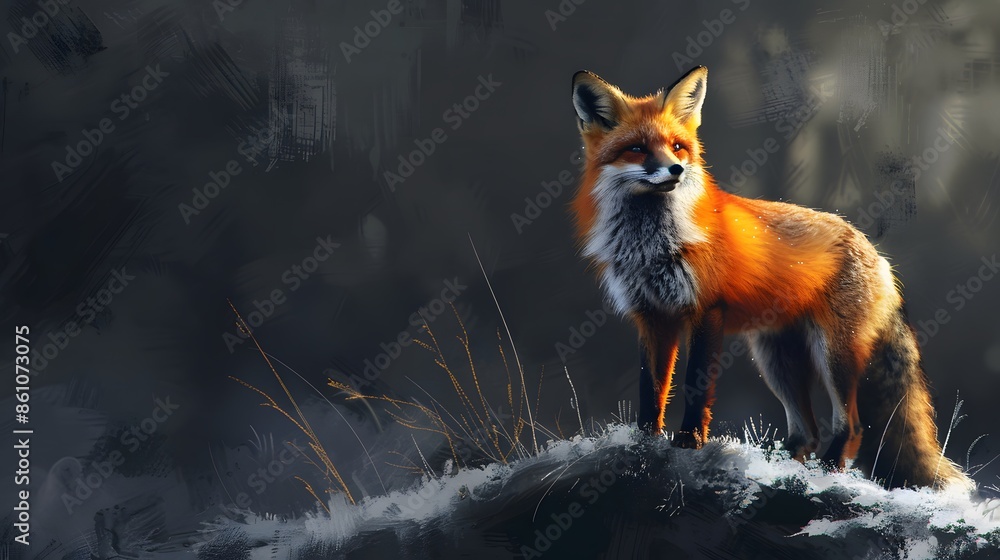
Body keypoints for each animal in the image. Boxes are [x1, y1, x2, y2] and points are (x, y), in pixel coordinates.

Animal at [569, 65, 972, 490]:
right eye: (637, 149)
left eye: (678, 147)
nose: (676, 169)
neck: (651, 245)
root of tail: (877, 254)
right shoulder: (651, 316)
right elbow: (651, 391)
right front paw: (645, 443)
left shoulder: (706, 311)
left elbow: (696, 388)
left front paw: (689, 443)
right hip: (776, 360)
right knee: (807, 433)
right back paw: (779, 467)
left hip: (833, 355)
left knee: (852, 426)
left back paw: (828, 471)